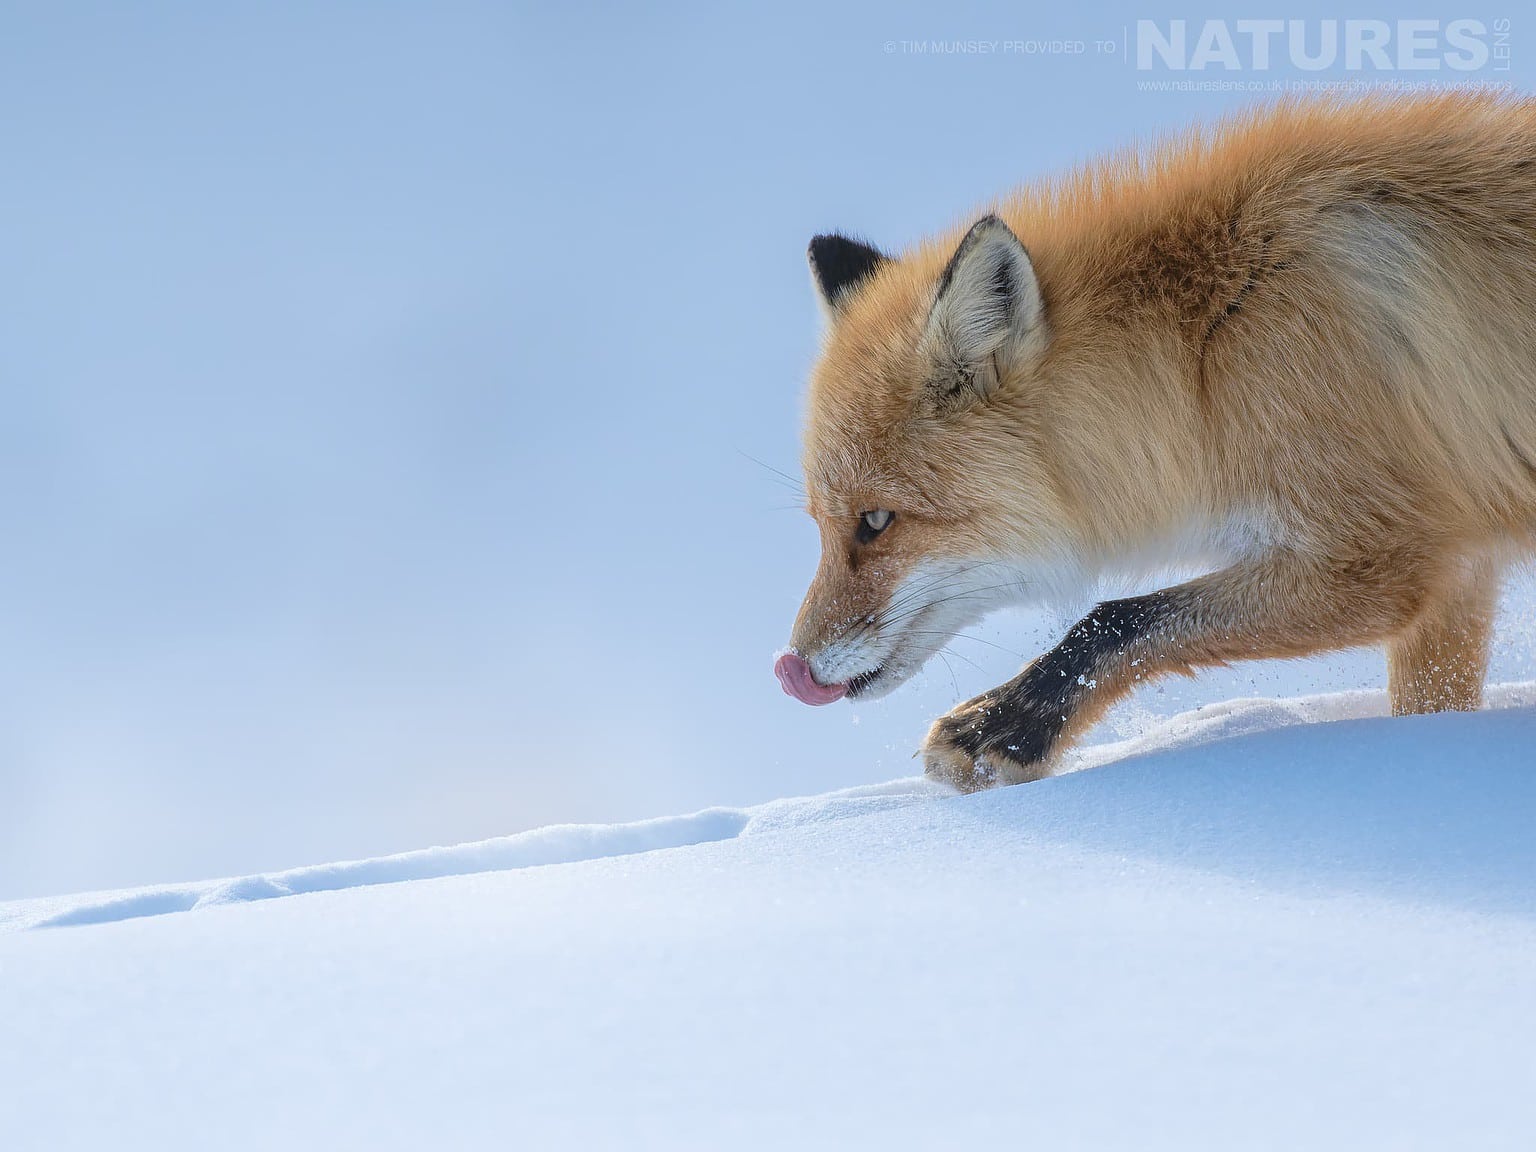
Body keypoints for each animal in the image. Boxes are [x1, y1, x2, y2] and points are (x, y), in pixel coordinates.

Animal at [774, 92, 1536, 792]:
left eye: (877, 521)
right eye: (821, 526)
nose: (792, 668)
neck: (1210, 355)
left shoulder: (1381, 560)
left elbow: (1118, 619)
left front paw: (1007, 728)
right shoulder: (1459, 571)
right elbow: (1429, 706)